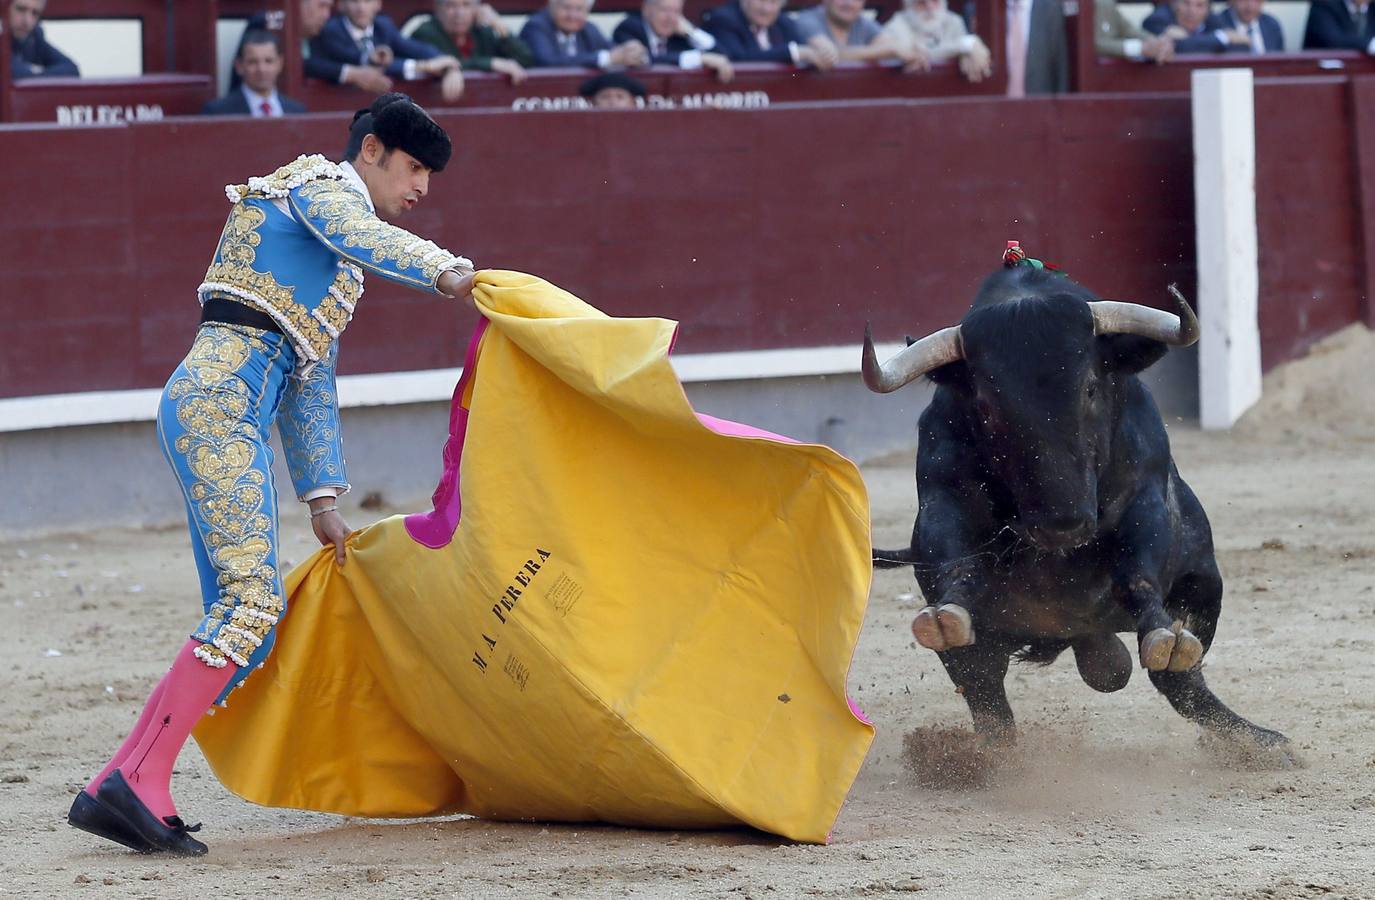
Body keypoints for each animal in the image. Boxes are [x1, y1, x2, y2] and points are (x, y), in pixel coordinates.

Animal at [863, 255, 1292, 758]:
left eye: (1088, 388)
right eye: (987, 406)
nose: (1062, 525)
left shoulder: (1147, 496)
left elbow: (1140, 576)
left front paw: (1164, 635)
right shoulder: (941, 496)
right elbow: (957, 564)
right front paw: (947, 614)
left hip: (1206, 583)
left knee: (1181, 679)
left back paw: (1254, 741)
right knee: (988, 699)